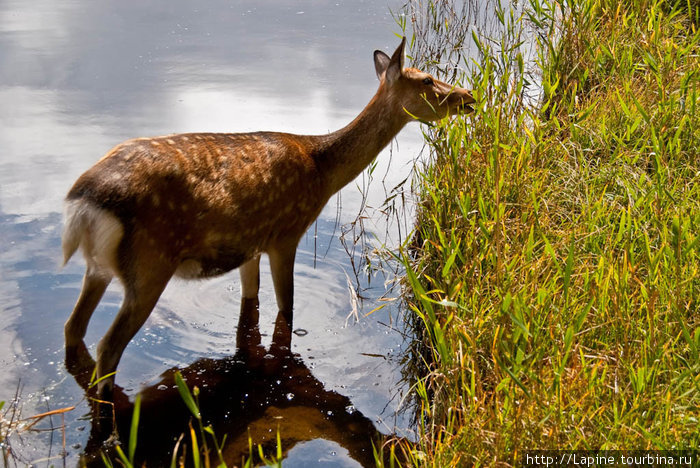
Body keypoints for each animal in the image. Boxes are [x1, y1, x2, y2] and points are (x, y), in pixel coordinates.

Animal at [63, 37, 476, 398]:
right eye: (427, 80)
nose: (469, 96)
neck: (321, 172)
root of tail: (83, 203)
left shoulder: (250, 245)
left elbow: (251, 305)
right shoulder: (285, 234)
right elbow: (285, 310)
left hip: (99, 267)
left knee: (73, 326)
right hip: (151, 263)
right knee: (108, 347)